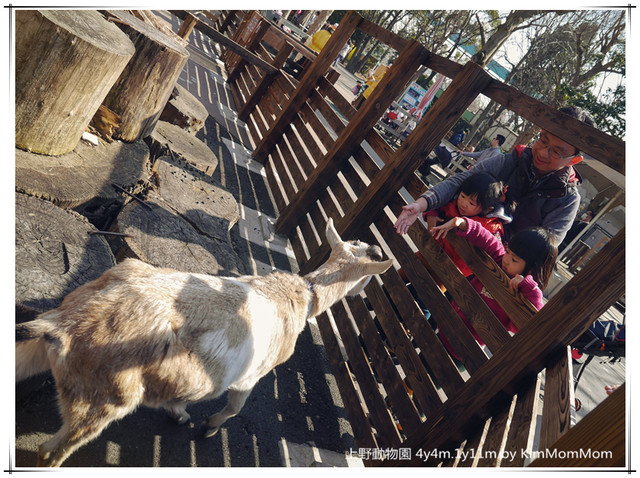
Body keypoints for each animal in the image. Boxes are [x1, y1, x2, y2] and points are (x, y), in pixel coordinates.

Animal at [15, 220, 392, 466]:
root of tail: (65, 322)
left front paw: (179, 413)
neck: (302, 297)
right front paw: (208, 428)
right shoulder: (250, 376)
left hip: (41, 354)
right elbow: (235, 408)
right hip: (104, 397)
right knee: (50, 451)